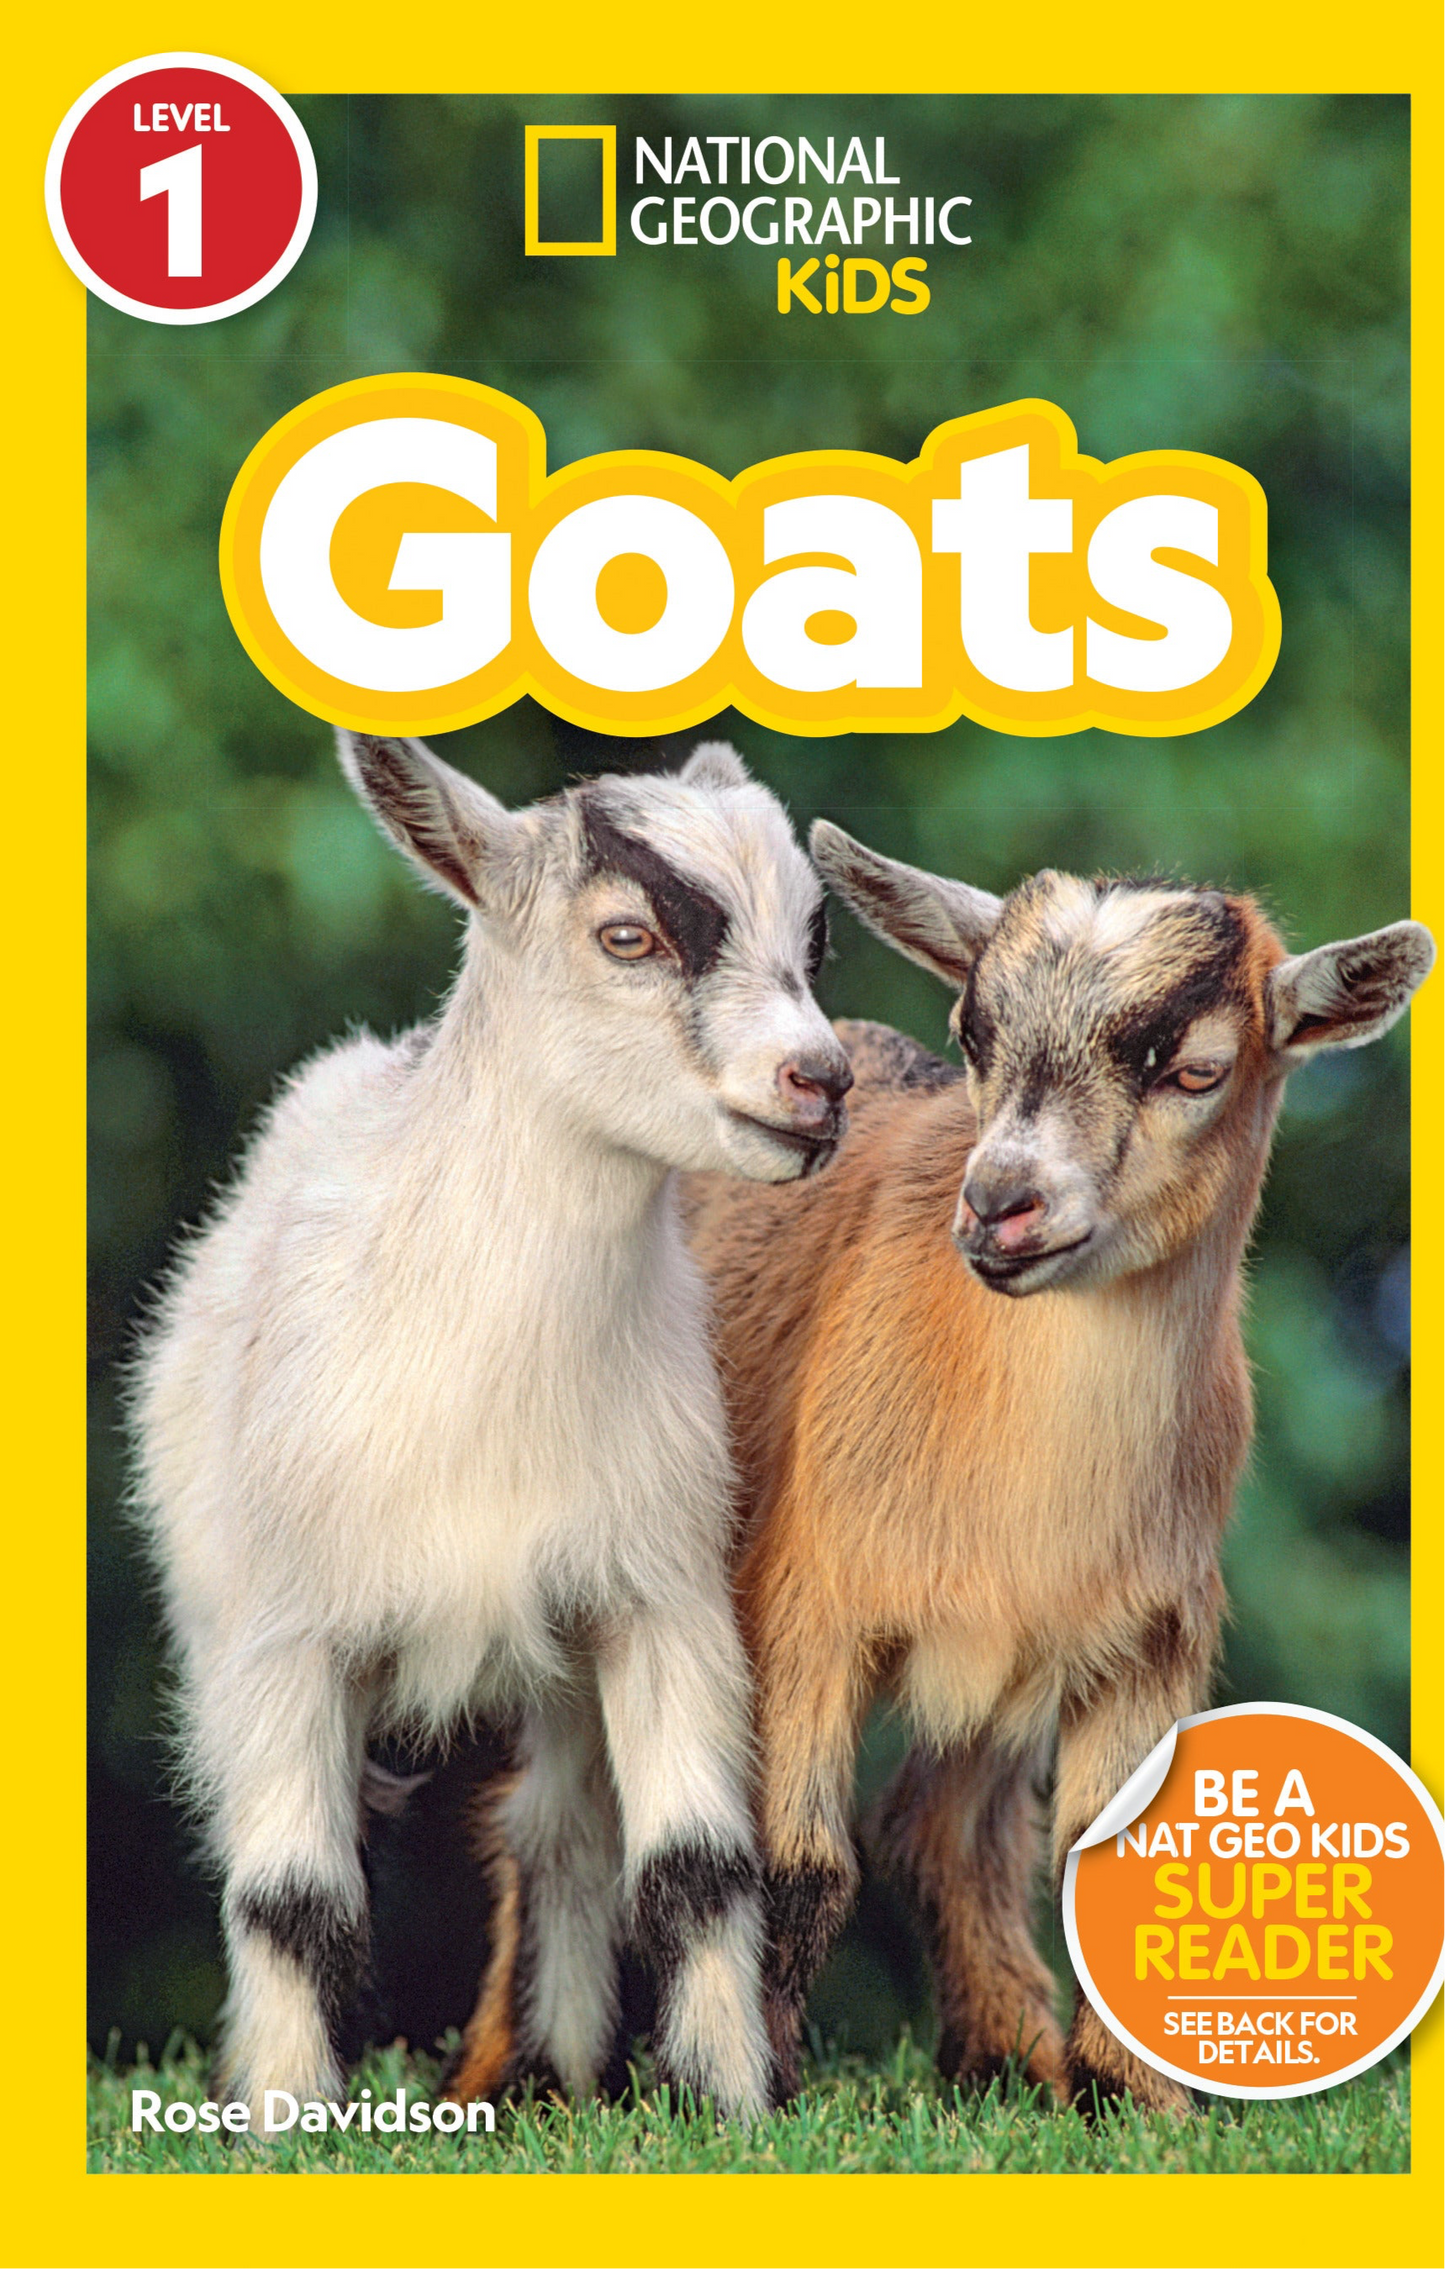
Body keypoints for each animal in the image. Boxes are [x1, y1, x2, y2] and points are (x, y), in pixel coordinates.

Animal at [129, 732, 852, 2123]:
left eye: (812, 934)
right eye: (626, 934)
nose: (819, 1080)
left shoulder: (655, 1591)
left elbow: (692, 1862)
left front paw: (727, 2104)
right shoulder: (285, 1633)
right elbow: (292, 1893)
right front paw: (287, 2119)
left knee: (558, 1834)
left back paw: (554, 2073)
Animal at [675, 830, 1432, 2113]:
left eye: (1195, 1070)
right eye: (971, 1029)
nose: (999, 1205)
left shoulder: (1143, 1639)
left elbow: (1107, 1859)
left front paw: (1133, 2100)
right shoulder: (799, 1606)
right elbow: (791, 1861)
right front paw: (746, 2097)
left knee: (938, 1822)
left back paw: (1003, 2053)